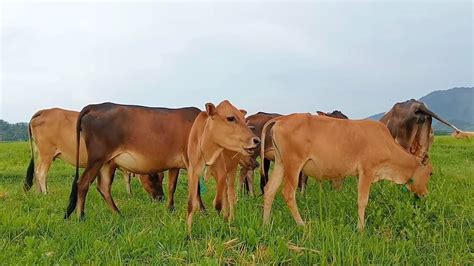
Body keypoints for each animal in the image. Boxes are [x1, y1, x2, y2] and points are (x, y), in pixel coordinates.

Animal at [63, 103, 202, 219]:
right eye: (152, 177)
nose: (160, 198)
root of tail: (96, 106)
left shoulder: (175, 165)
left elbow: (172, 186)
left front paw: (171, 209)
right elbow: (197, 189)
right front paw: (203, 211)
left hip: (107, 162)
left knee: (103, 186)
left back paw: (118, 214)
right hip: (97, 158)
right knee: (83, 183)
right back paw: (81, 217)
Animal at [262, 114, 434, 231]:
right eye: (430, 173)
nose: (426, 194)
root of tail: (283, 118)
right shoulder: (367, 171)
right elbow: (362, 201)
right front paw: (361, 228)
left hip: (280, 163)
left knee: (269, 190)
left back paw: (266, 224)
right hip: (293, 164)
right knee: (288, 194)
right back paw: (301, 224)